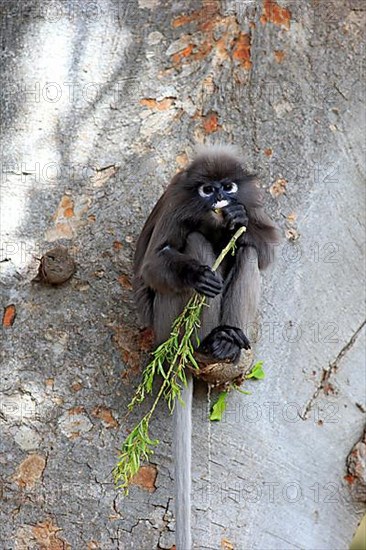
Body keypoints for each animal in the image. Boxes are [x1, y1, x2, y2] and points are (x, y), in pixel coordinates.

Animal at [133, 144, 278, 548]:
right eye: (207, 190)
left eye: (228, 186)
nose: (219, 199)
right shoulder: (176, 202)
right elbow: (152, 264)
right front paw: (197, 273)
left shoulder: (252, 204)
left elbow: (264, 247)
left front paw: (237, 219)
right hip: (165, 321)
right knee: (194, 242)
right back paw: (203, 340)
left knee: (246, 251)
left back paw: (227, 338)